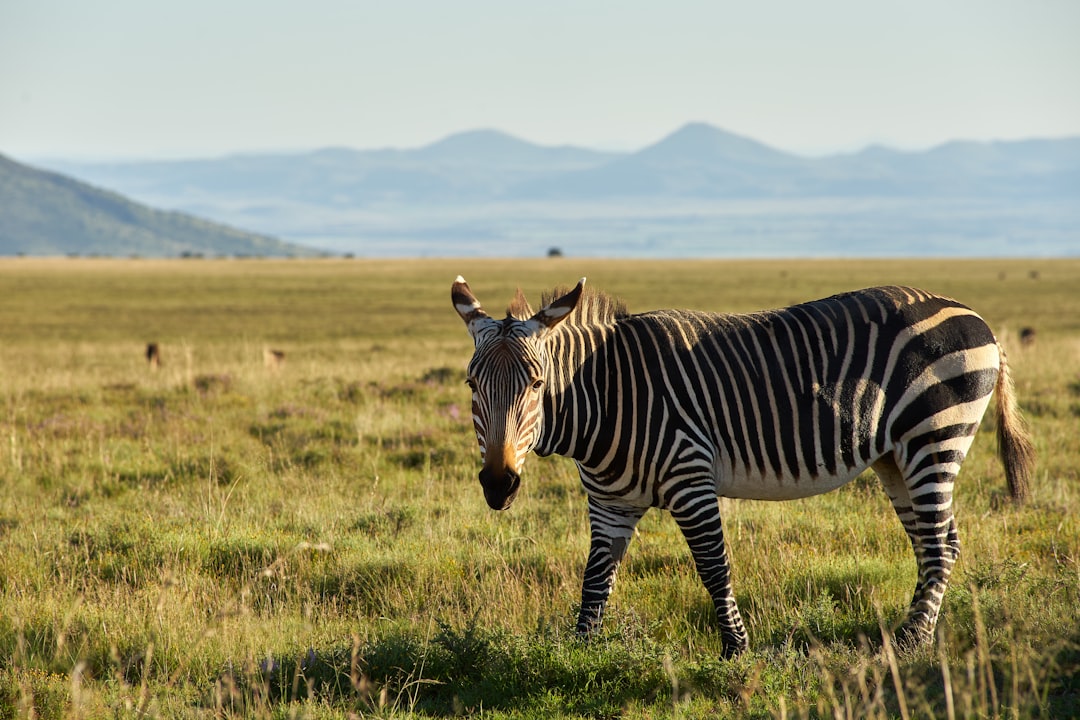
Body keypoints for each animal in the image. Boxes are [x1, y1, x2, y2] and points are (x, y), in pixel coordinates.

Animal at [451, 278, 1032, 660]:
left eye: (536, 385)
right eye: (471, 385)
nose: (498, 484)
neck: (608, 395)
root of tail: (974, 314)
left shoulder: (690, 476)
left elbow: (714, 566)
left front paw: (736, 651)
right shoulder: (610, 501)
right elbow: (596, 578)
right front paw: (580, 652)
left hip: (934, 436)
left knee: (938, 543)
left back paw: (912, 644)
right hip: (896, 456)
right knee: (938, 541)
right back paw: (911, 631)